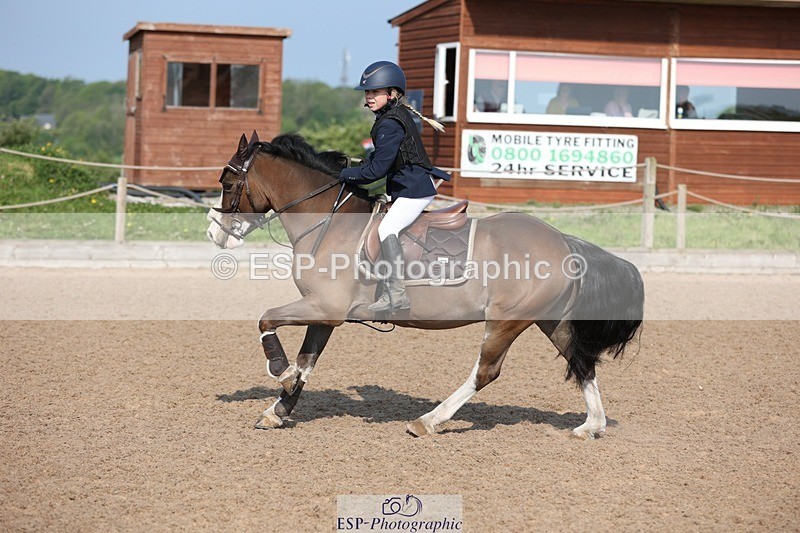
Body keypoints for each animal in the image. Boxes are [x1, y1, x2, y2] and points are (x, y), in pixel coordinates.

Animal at [206, 131, 644, 439]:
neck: (329, 222)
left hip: (506, 321)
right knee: (581, 361)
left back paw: (428, 421)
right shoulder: (324, 313)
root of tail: (564, 241)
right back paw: (592, 426)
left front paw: (279, 373)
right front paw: (278, 409)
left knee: (486, 372)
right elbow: (307, 362)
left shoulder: (323, 308)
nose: (215, 235)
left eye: (227, 183)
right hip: (547, 319)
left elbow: (267, 321)